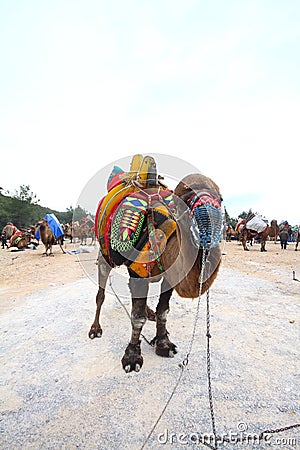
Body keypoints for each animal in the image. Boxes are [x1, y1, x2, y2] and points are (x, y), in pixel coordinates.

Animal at [89, 155, 223, 372]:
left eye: (221, 198)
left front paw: (163, 343)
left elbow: (163, 310)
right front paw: (132, 356)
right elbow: (136, 317)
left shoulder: (169, 277)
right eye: (186, 196)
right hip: (104, 256)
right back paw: (95, 329)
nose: (210, 225)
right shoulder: (138, 273)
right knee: (101, 292)